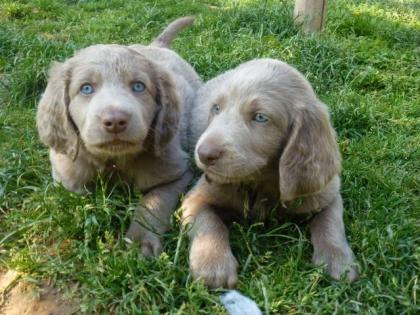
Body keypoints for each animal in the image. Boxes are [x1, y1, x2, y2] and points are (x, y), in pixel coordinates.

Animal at [36, 16, 202, 256]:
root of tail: (156, 46)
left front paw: (140, 241)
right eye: (86, 88)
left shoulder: (178, 171)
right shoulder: (65, 175)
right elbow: (78, 196)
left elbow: (153, 201)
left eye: (138, 86)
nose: (115, 121)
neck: (114, 161)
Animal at [180, 58, 358, 288]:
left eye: (260, 117)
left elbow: (332, 223)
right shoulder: (196, 198)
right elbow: (208, 223)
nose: (203, 154)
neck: (261, 181)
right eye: (216, 108)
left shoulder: (326, 192)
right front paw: (213, 265)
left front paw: (339, 260)